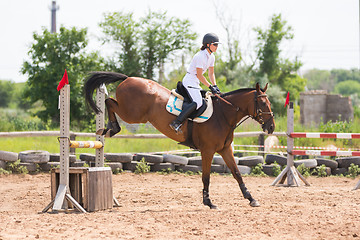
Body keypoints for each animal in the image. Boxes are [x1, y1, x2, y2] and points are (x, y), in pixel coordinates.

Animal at [85, 71, 276, 208]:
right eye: (263, 104)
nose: (271, 127)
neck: (223, 114)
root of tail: (128, 78)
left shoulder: (225, 149)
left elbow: (237, 173)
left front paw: (251, 198)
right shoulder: (208, 150)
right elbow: (206, 176)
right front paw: (208, 202)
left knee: (111, 102)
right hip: (133, 114)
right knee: (109, 102)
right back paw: (111, 128)